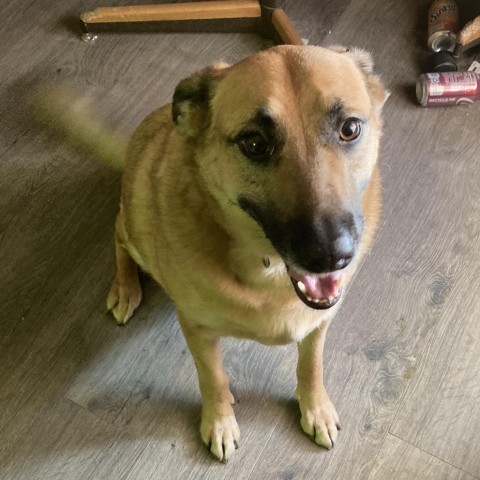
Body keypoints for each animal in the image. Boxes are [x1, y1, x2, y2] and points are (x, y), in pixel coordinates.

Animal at [104, 45, 386, 462]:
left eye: (349, 129)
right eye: (254, 143)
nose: (331, 256)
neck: (268, 270)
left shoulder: (319, 322)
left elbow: (312, 365)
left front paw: (315, 407)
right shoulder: (198, 329)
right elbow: (214, 379)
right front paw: (219, 422)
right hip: (134, 222)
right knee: (118, 234)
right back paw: (125, 287)